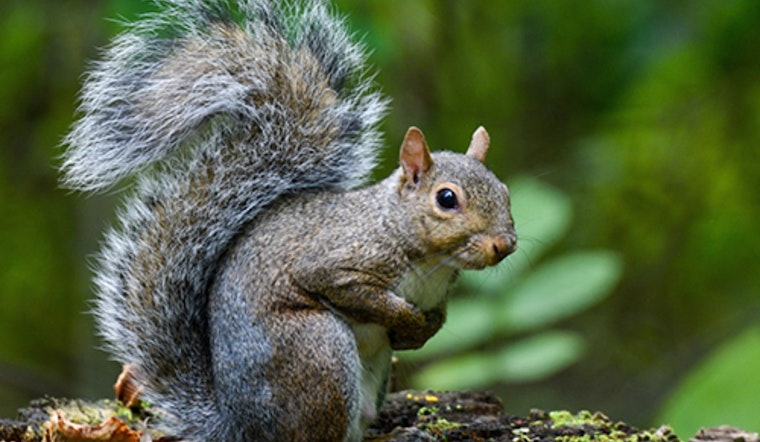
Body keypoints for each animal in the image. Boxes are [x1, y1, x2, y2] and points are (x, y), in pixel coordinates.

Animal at [61, 0, 516, 441]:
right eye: (446, 199)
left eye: (505, 191)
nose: (505, 245)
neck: (423, 256)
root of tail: (237, 426)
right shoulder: (338, 262)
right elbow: (354, 291)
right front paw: (405, 319)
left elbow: (438, 318)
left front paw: (422, 331)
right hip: (318, 350)